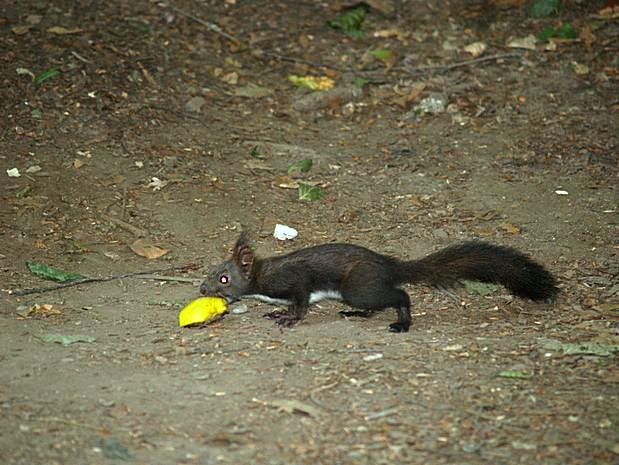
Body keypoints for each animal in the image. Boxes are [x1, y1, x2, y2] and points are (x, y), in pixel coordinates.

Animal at [201, 234, 560, 332]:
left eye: (223, 277)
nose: (202, 290)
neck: (262, 278)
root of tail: (389, 265)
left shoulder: (294, 281)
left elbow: (301, 301)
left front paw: (288, 317)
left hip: (357, 287)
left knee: (400, 295)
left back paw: (402, 323)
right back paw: (357, 315)